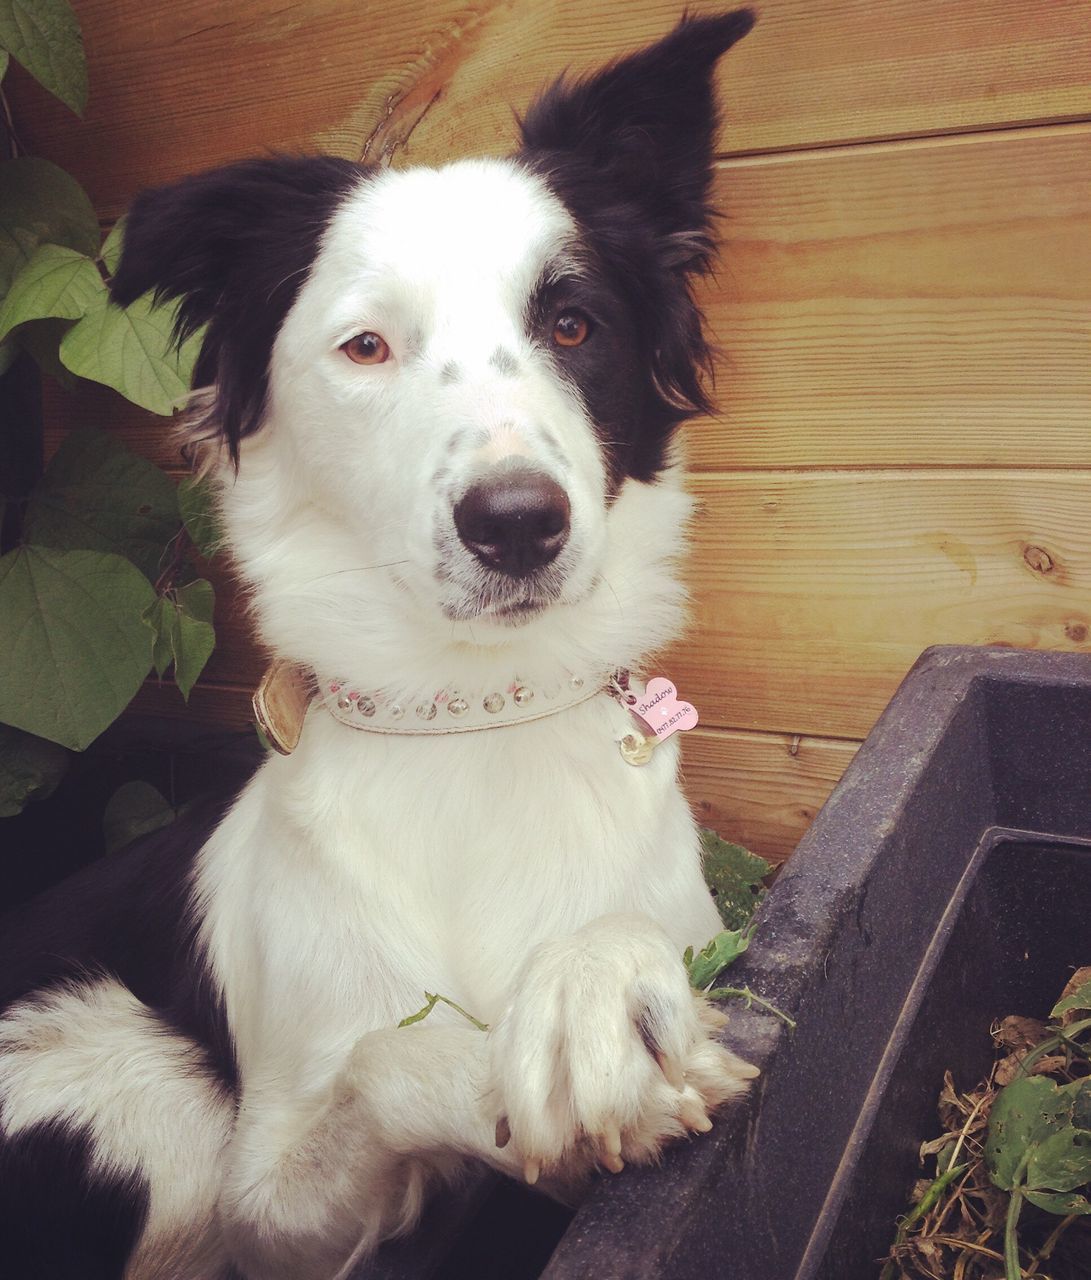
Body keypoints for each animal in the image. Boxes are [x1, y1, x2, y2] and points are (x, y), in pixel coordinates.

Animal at [2, 12, 758, 1280]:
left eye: (572, 324)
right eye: (364, 347)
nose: (518, 523)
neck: (472, 724)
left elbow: (614, 941)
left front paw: (591, 986)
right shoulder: (274, 1212)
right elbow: (388, 1052)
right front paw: (524, 1051)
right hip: (143, 1079)